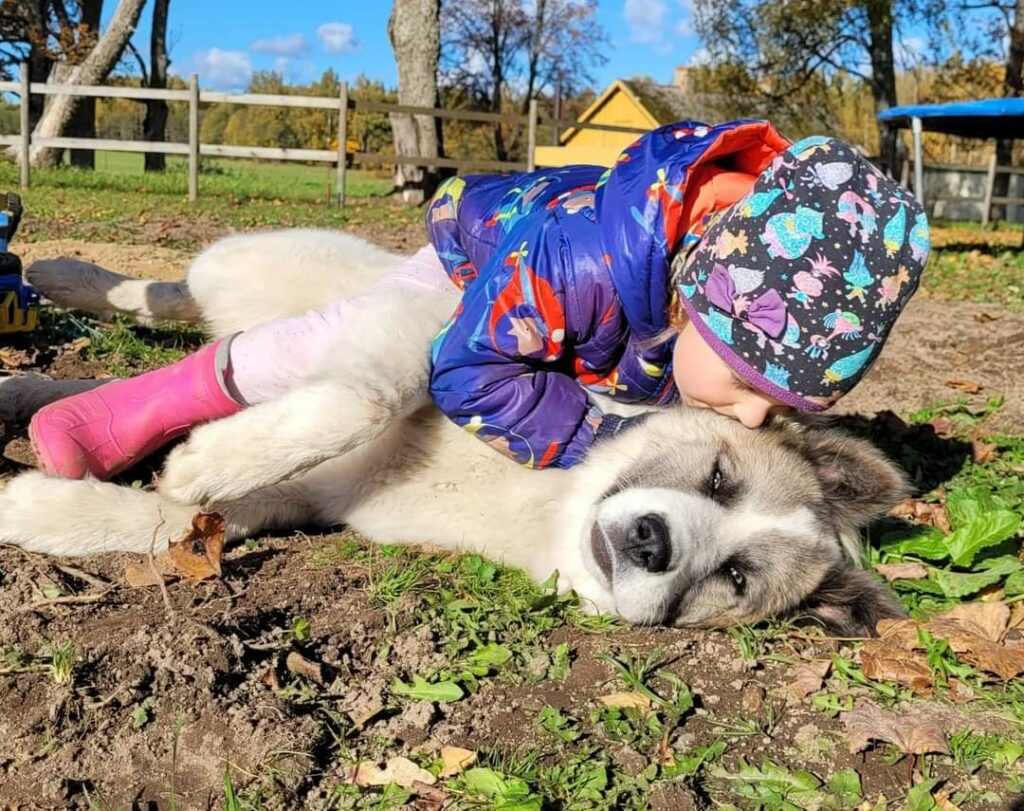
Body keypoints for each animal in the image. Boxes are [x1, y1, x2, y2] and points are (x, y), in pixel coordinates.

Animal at [0, 230, 907, 634]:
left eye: (736, 578)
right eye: (719, 475)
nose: (653, 542)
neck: (534, 498)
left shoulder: (295, 503)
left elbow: (165, 520)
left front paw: (39, 507)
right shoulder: (434, 330)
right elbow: (365, 398)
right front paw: (206, 459)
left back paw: (46, 406)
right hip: (282, 276)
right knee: (179, 301)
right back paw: (64, 282)